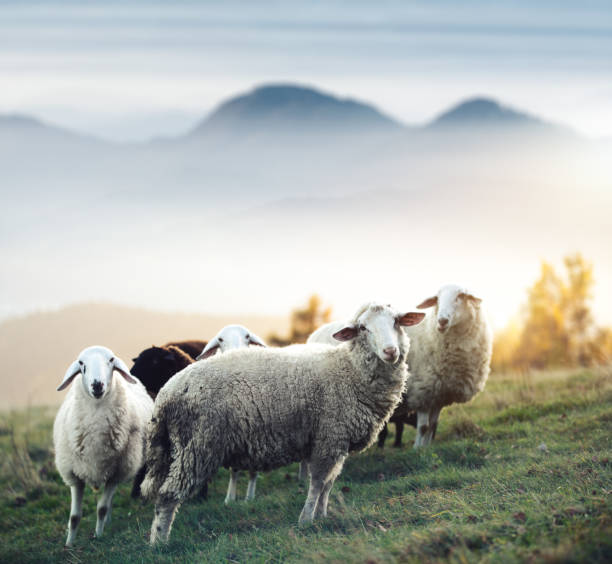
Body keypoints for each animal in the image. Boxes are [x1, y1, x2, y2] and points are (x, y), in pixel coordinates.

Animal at [53, 344, 153, 548]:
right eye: (81, 363)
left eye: (111, 360)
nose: (97, 385)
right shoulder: (74, 475)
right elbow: (74, 517)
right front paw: (69, 543)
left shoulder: (116, 474)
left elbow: (102, 508)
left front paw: (98, 536)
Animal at [196, 324, 266, 504]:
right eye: (220, 339)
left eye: (247, 336)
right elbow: (234, 470)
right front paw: (229, 499)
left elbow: (254, 469)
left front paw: (249, 498)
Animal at [390, 286, 494, 450]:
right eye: (437, 299)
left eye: (460, 296)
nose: (442, 321)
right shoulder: (422, 390)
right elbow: (423, 427)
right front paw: (417, 449)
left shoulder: (439, 394)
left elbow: (433, 425)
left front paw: (426, 448)